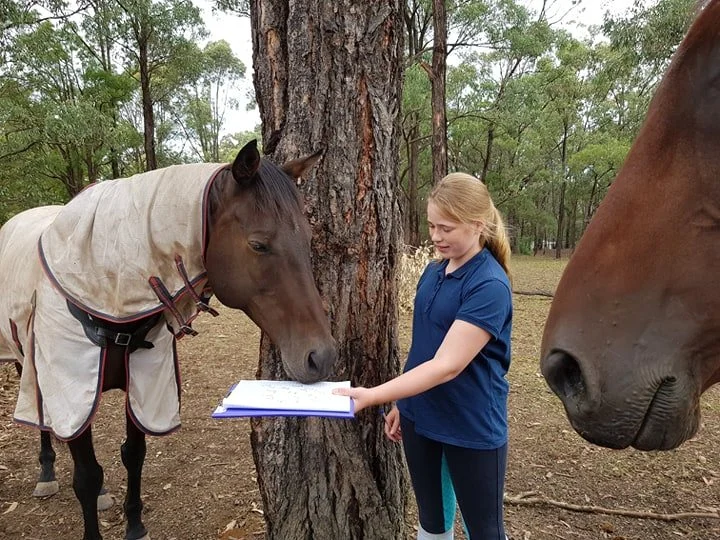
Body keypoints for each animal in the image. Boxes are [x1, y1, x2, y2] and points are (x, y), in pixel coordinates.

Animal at [0, 139, 338, 540]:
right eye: (258, 245)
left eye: (308, 238)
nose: (322, 355)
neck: (107, 285)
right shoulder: (70, 383)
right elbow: (85, 475)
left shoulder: (144, 381)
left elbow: (133, 454)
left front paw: (134, 525)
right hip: (29, 365)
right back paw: (47, 471)